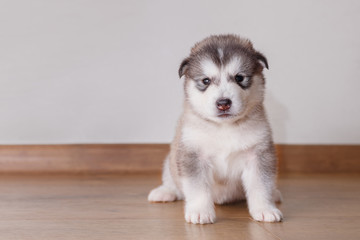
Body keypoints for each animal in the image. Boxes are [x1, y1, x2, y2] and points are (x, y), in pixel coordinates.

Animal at [148, 34, 282, 224]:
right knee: (172, 180)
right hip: (171, 160)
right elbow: (197, 188)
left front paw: (265, 209)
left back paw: (275, 194)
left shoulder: (258, 154)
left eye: (239, 78)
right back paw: (165, 192)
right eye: (206, 81)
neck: (224, 128)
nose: (223, 103)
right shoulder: (193, 155)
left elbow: (261, 185)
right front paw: (200, 212)